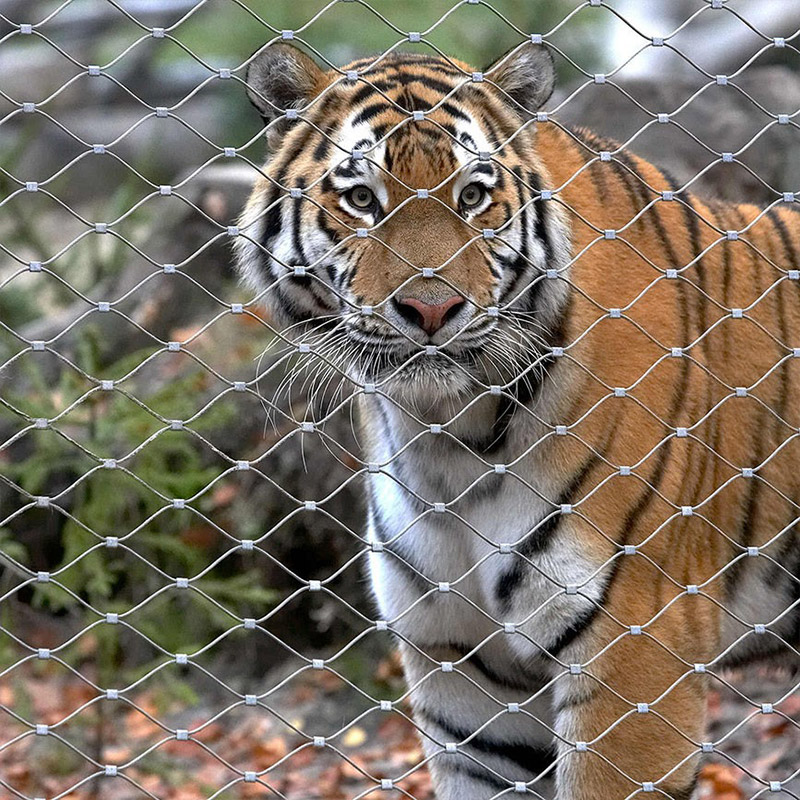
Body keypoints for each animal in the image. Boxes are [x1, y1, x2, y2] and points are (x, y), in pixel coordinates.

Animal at [234, 40, 800, 800]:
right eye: (361, 200)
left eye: (472, 196)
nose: (433, 309)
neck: (447, 441)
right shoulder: (461, 669)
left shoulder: (635, 653)